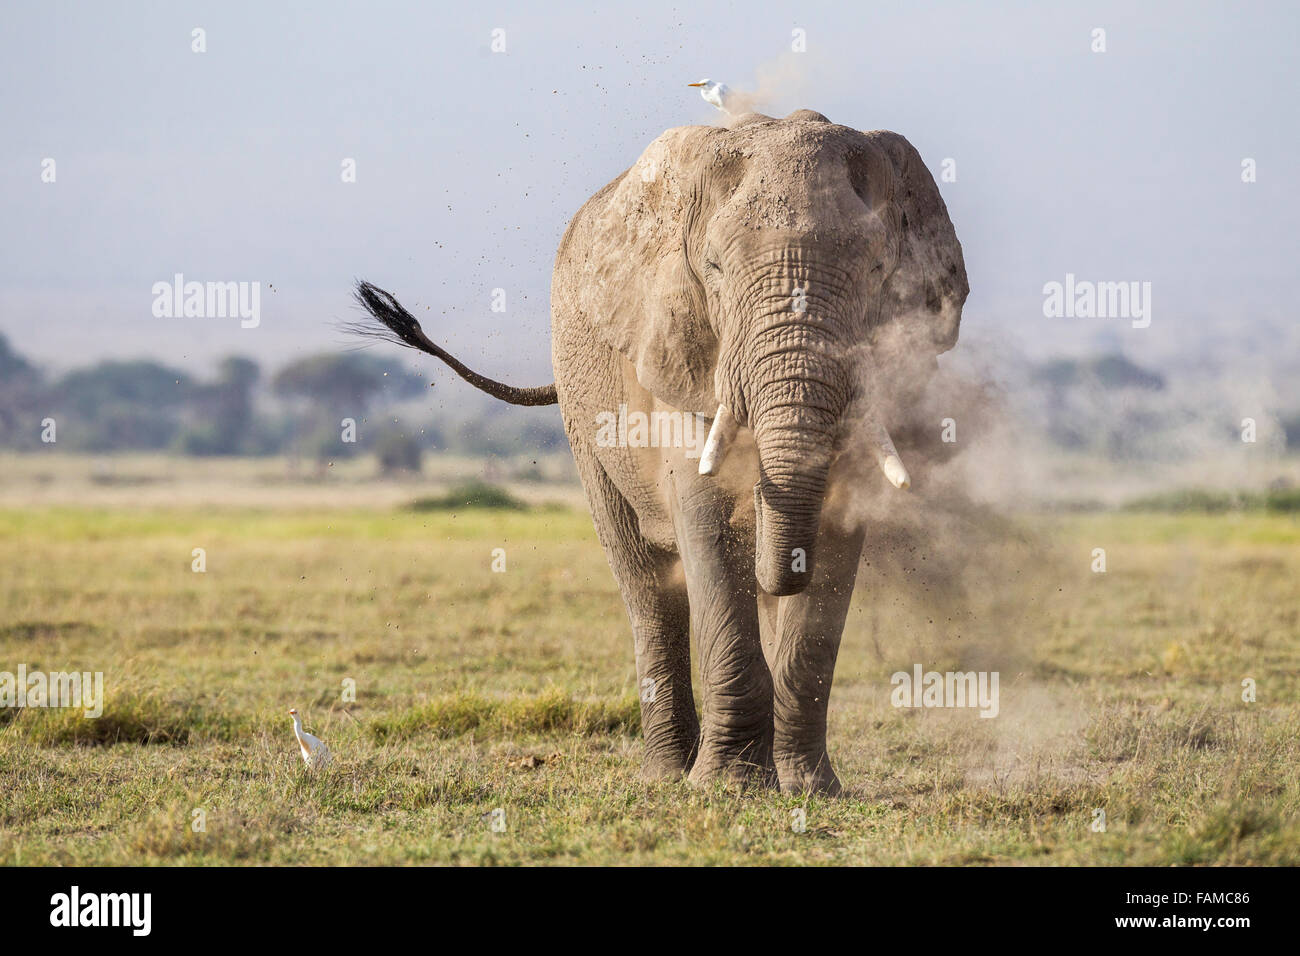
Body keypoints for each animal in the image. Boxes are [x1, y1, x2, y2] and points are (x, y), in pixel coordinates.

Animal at [353, 106, 967, 790]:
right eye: (716, 271)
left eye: (878, 275)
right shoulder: (676, 346)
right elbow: (704, 516)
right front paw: (729, 788)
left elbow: (837, 532)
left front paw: (810, 790)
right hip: (582, 410)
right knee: (643, 575)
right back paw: (666, 775)